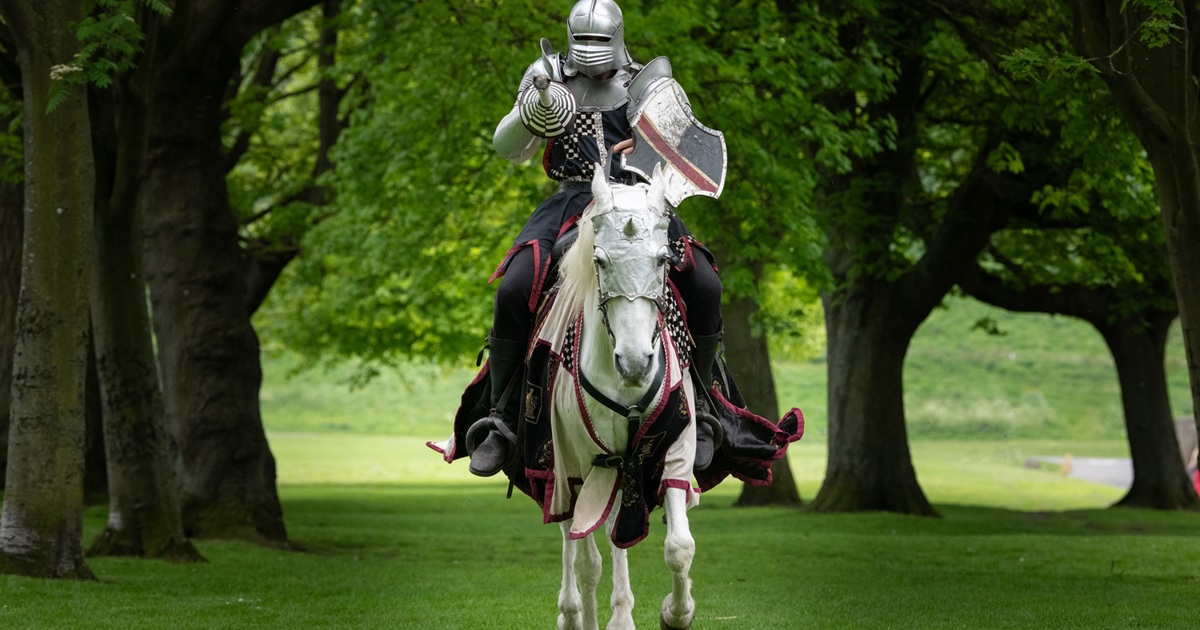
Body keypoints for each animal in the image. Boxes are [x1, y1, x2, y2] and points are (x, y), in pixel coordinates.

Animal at [540, 163, 700, 628]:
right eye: (598, 259)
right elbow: (587, 557)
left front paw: (675, 612)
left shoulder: (670, 448)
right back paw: (573, 613)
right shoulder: (581, 464)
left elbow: (679, 546)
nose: (634, 362)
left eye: (663, 259)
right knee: (576, 544)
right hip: (568, 469)